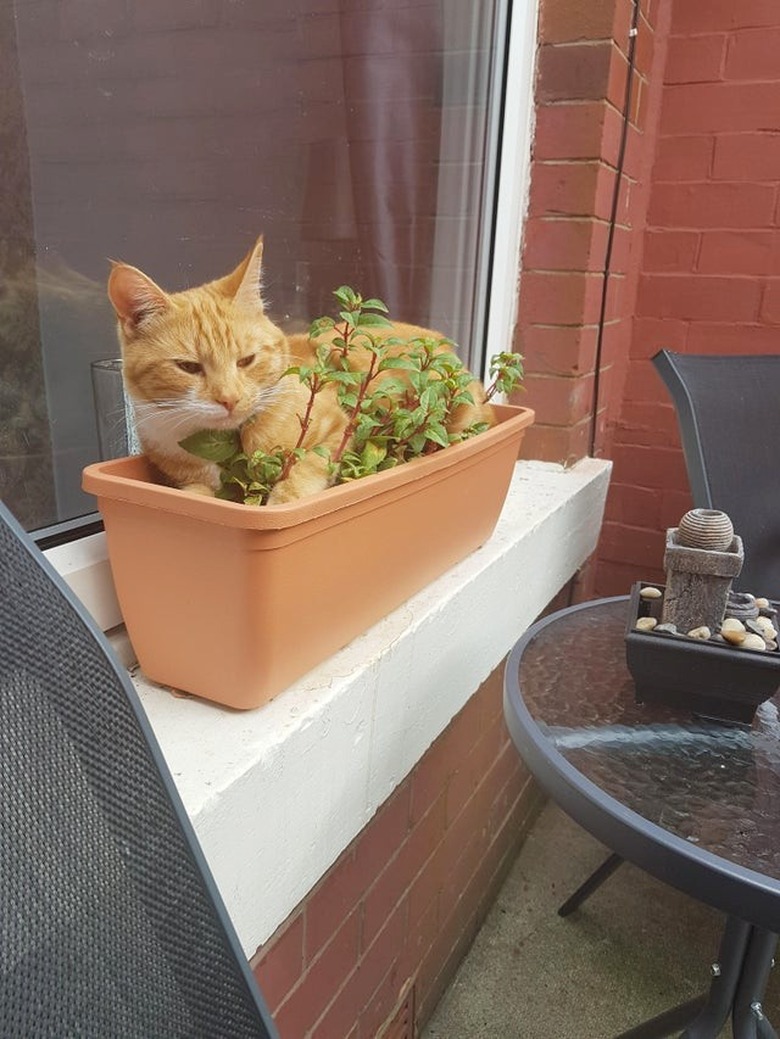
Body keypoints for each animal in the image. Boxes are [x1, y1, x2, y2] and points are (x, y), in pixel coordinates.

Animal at [106, 240, 494, 507]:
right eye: (188, 367)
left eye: (246, 360)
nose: (230, 399)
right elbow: (196, 494)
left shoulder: (336, 429)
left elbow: (303, 471)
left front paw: (279, 502)